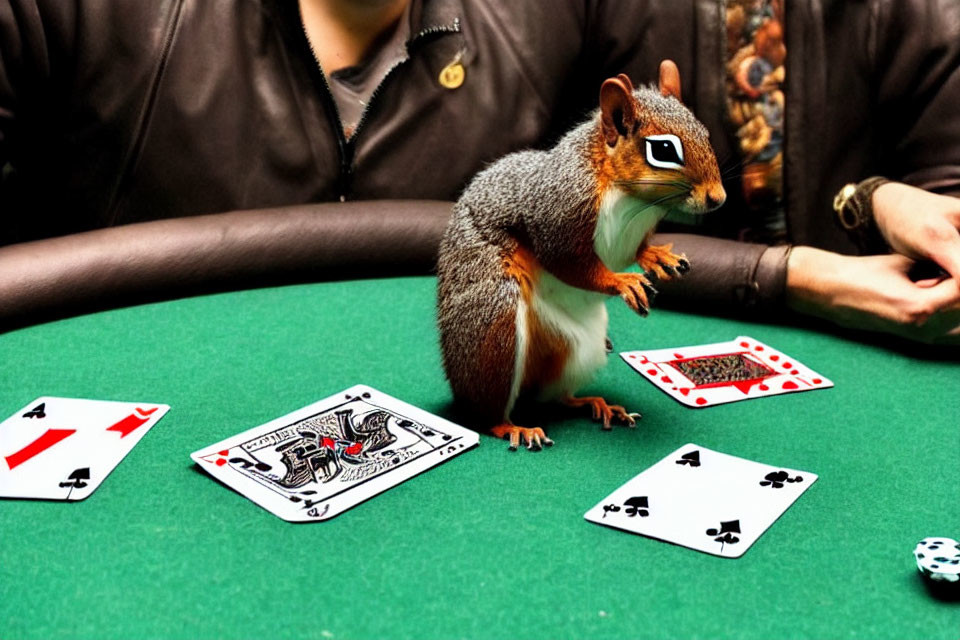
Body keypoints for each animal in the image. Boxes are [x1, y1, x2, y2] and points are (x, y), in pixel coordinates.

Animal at [438, 60, 724, 450]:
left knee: (554, 396)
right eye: (664, 150)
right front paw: (622, 282)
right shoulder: (560, 211)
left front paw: (656, 258)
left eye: (706, 134)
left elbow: (635, 250)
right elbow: (570, 263)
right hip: (497, 325)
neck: (632, 198)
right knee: (490, 410)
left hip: (579, 348)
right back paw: (511, 426)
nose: (718, 198)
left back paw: (597, 404)